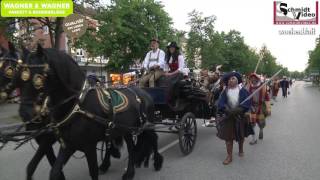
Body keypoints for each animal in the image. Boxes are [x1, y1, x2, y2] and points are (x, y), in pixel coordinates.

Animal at [21, 45, 162, 180]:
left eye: (38, 78)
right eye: (21, 77)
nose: (26, 113)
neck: (78, 105)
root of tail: (145, 93)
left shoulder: (89, 146)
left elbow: (93, 172)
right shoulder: (68, 144)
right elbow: (54, 171)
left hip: (146, 126)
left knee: (153, 138)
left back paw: (156, 162)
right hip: (126, 129)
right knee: (132, 147)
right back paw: (129, 172)